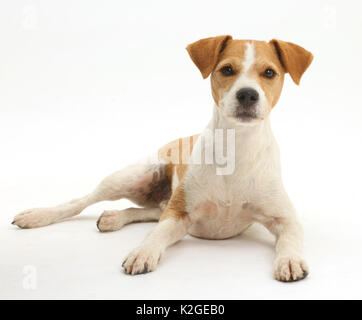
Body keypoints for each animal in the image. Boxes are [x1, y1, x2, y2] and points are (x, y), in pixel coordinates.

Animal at [13, 36, 314, 282]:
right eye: (227, 69)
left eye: (269, 72)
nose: (247, 94)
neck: (236, 147)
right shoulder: (178, 214)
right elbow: (156, 234)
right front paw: (143, 252)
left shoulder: (285, 218)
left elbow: (290, 239)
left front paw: (290, 260)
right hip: (130, 177)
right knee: (80, 202)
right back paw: (38, 215)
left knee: (151, 210)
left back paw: (113, 218)